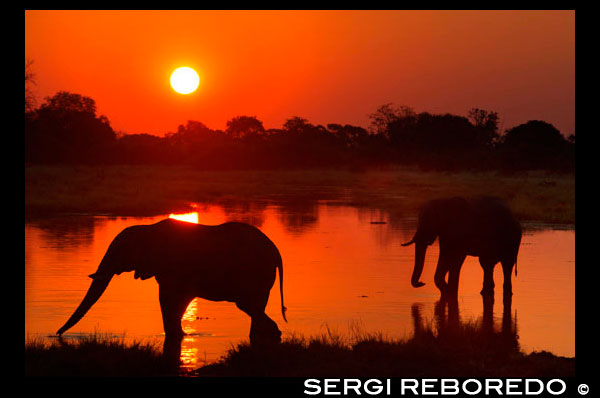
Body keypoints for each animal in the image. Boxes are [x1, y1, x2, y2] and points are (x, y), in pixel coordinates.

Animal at [57, 219, 288, 350]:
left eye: (119, 252)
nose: (57, 334)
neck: (148, 229)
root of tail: (276, 250)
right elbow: (178, 302)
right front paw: (181, 336)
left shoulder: (171, 267)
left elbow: (169, 299)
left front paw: (177, 336)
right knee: (254, 307)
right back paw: (267, 335)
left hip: (256, 272)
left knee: (248, 305)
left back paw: (274, 334)